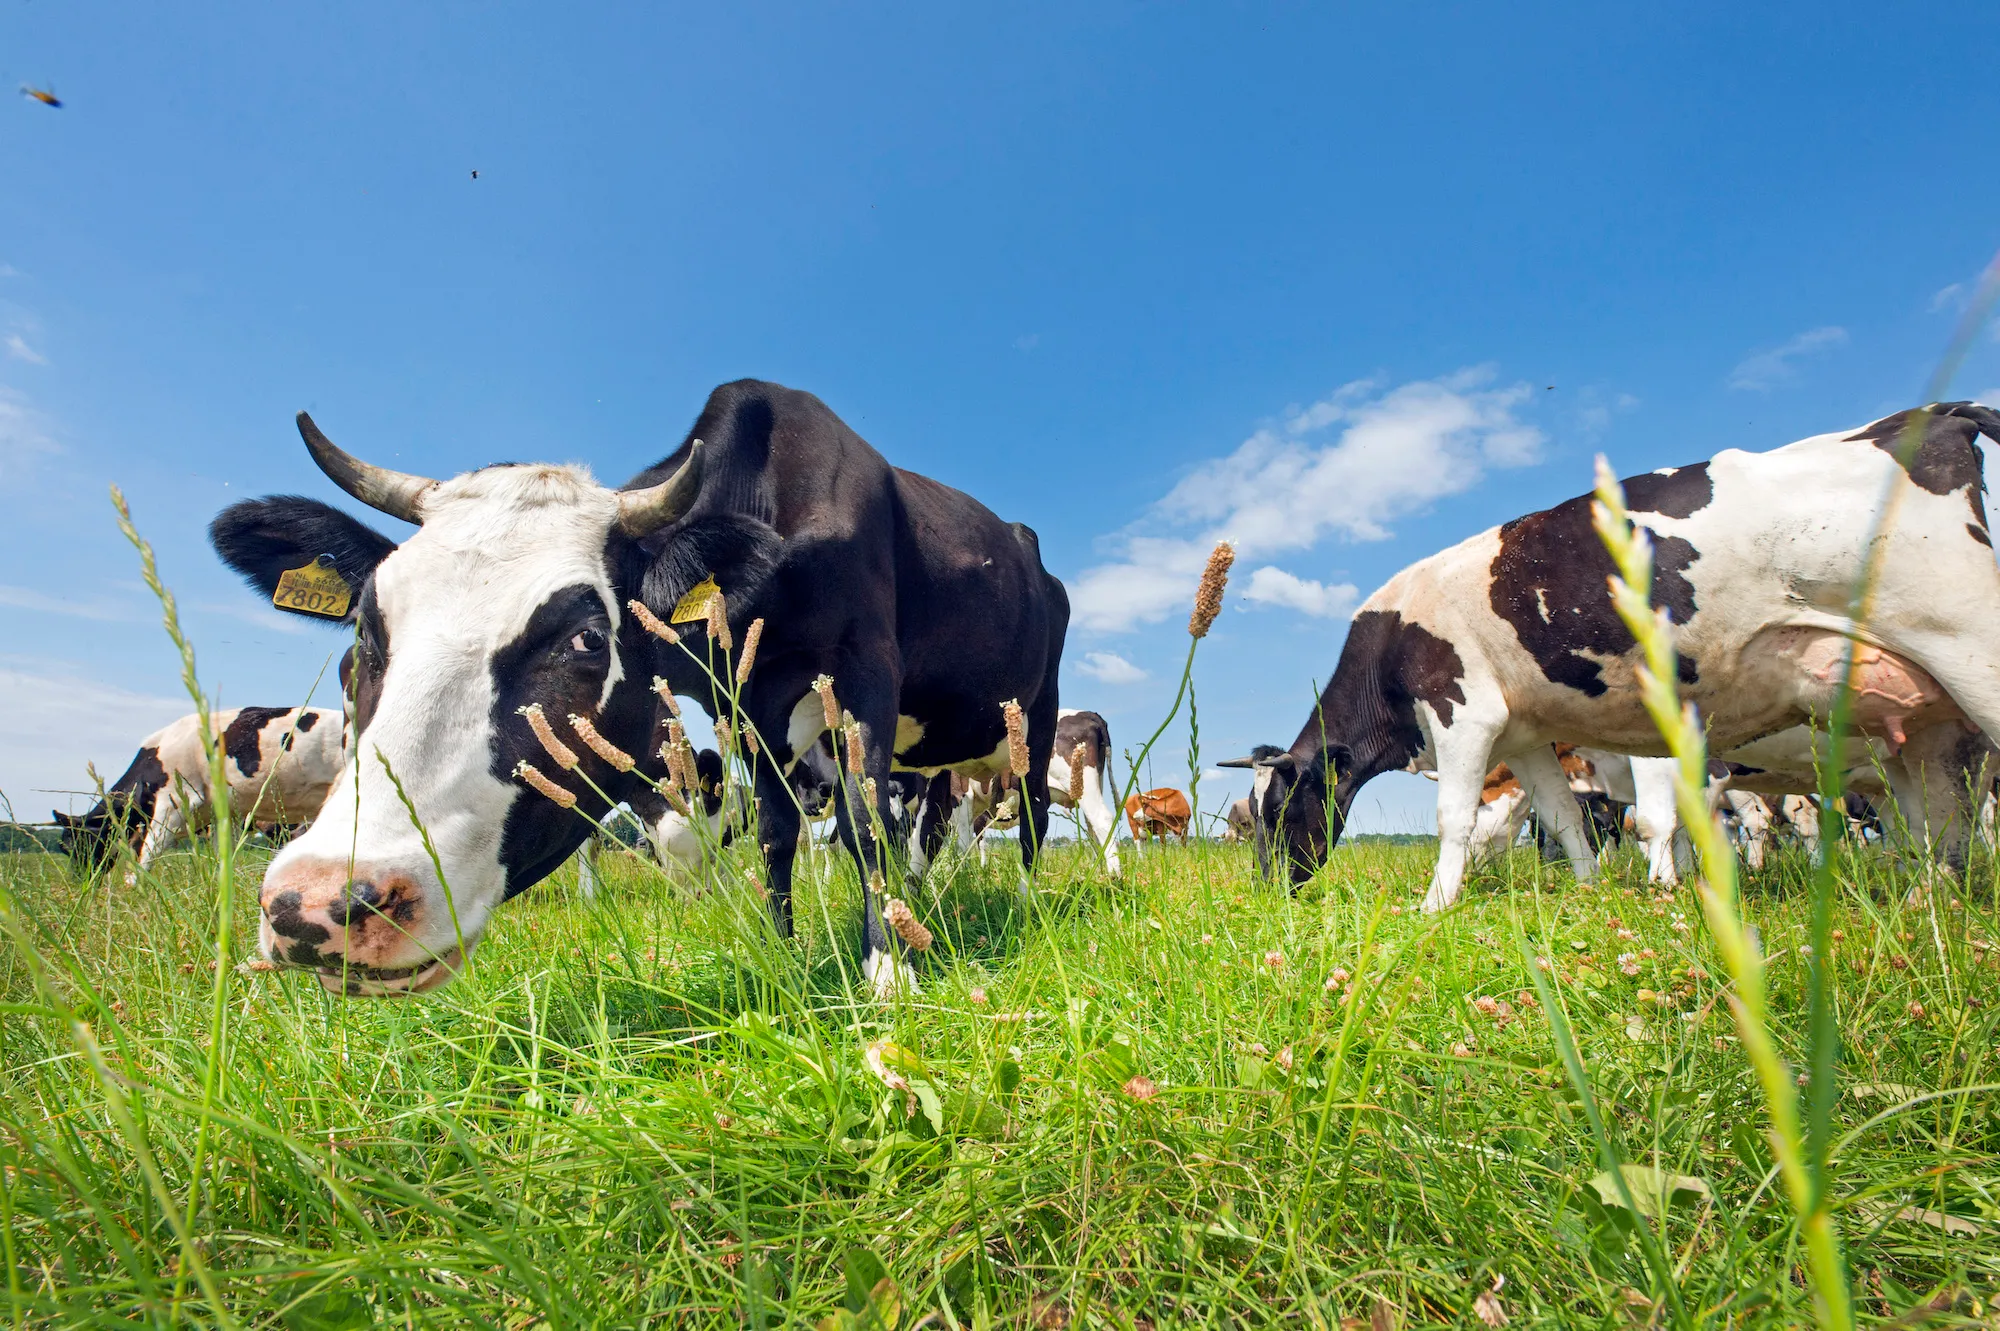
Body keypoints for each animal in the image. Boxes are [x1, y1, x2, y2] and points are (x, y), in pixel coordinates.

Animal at [55, 707, 344, 872]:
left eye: (76, 845)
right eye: (64, 848)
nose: (81, 880)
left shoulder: (174, 803)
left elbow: (145, 859)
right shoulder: (225, 815)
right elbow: (222, 861)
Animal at [208, 379, 1068, 997]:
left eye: (586, 639)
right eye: (365, 634)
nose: (315, 903)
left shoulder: (864, 672)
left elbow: (860, 821)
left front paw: (889, 968)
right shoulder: (746, 706)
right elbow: (776, 832)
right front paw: (784, 944)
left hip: (1037, 708)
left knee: (1024, 813)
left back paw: (1029, 903)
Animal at [1224, 403, 2000, 911]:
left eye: (1277, 811)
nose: (1272, 888)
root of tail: (1933, 412)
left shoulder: (1465, 710)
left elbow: (1458, 818)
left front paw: (1434, 907)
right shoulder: (1526, 735)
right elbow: (1566, 818)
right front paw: (1594, 892)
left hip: (1965, 639)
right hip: (1924, 723)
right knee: (1943, 822)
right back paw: (1930, 902)